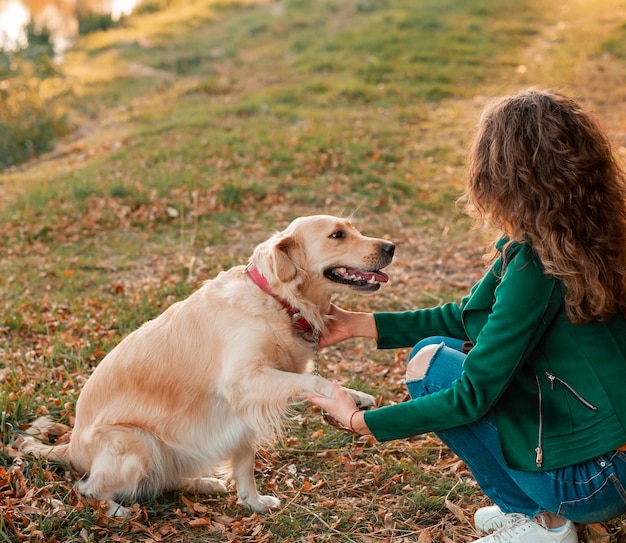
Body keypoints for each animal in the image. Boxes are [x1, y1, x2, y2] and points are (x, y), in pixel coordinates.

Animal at [23, 214, 394, 520]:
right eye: (337, 235)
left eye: (352, 228)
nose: (391, 246)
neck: (277, 299)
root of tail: (70, 446)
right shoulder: (245, 383)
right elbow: (317, 382)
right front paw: (344, 398)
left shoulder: (244, 412)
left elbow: (245, 466)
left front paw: (254, 503)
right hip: (137, 443)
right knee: (88, 489)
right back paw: (118, 512)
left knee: (161, 481)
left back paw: (204, 483)